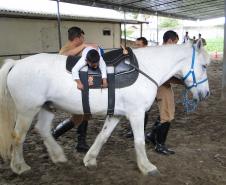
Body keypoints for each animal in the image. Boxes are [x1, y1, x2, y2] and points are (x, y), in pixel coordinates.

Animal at [0, 42, 209, 176]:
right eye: (205, 66)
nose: (205, 93)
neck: (145, 68)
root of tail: (17, 63)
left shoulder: (115, 114)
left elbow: (103, 136)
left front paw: (90, 159)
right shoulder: (136, 113)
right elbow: (139, 141)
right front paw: (147, 167)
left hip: (46, 107)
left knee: (42, 129)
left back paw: (58, 156)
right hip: (27, 110)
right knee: (18, 137)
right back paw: (19, 167)